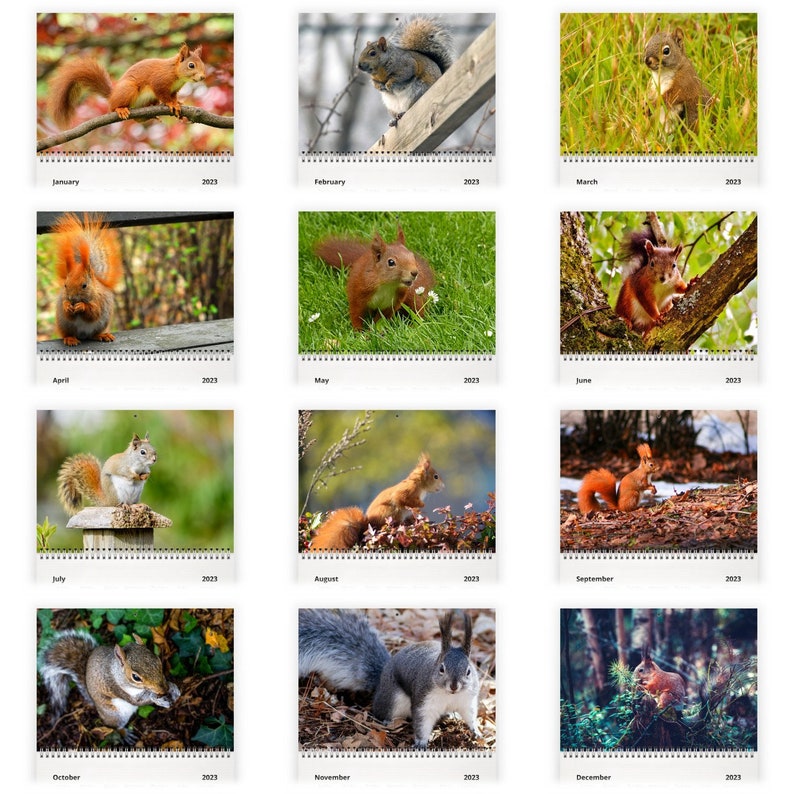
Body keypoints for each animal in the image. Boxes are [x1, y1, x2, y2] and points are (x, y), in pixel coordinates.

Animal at [38, 628, 180, 743]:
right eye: (135, 677)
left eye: (158, 660)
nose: (163, 689)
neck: (117, 672)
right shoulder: (116, 688)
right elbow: (138, 701)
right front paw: (156, 698)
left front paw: (173, 688)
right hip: (115, 715)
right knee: (115, 727)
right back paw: (124, 734)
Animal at [47, 42, 206, 128]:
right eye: (191, 65)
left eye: (203, 64)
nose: (203, 77)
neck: (176, 73)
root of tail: (112, 95)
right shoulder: (159, 81)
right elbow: (163, 94)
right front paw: (172, 104)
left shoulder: (174, 89)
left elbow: (173, 96)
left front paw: (178, 102)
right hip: (128, 89)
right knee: (113, 107)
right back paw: (120, 109)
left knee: (138, 118)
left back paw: (152, 114)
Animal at [52, 213, 123, 346]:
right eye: (65, 285)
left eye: (84, 285)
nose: (72, 299)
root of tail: (82, 336)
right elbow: (68, 312)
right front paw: (67, 305)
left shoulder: (100, 301)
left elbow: (93, 312)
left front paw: (82, 306)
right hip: (64, 325)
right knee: (68, 333)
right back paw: (70, 339)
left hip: (101, 324)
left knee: (93, 334)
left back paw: (102, 335)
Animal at [299, 609, 482, 749]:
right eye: (441, 669)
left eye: (468, 671)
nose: (454, 686)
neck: (449, 696)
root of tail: (381, 678)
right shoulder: (424, 701)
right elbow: (422, 722)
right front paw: (421, 743)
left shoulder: (467, 700)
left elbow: (470, 715)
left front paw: (476, 731)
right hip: (393, 699)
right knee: (382, 711)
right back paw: (387, 721)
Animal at [310, 452, 444, 550]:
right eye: (436, 476)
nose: (443, 486)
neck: (419, 484)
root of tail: (368, 525)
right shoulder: (408, 490)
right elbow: (401, 498)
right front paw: (421, 504)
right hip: (390, 513)